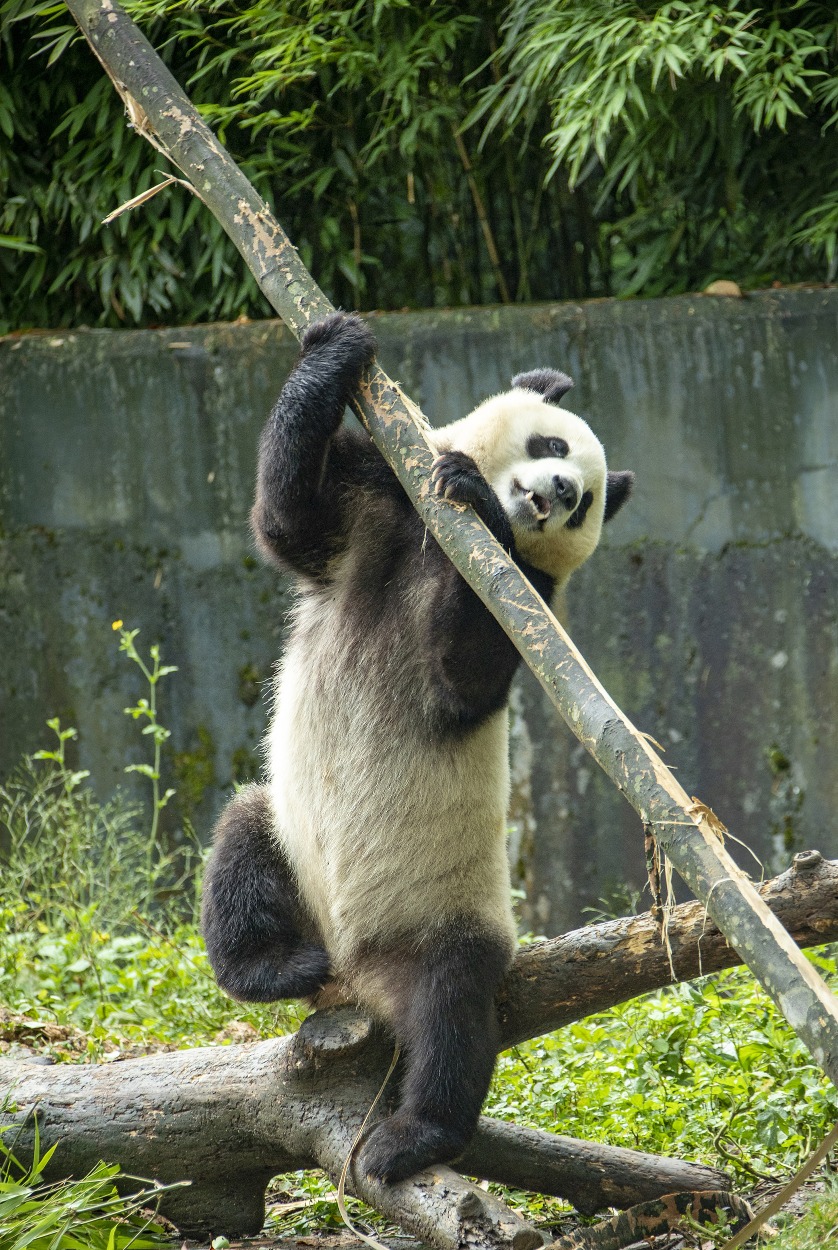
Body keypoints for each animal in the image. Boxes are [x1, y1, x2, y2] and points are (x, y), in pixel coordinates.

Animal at [201, 310, 637, 1180]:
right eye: (551, 444)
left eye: (585, 505)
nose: (558, 492)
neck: (427, 532)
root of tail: (356, 979)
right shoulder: (375, 499)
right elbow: (285, 519)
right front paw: (335, 346)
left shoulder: (529, 598)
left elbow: (467, 672)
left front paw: (478, 501)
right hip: (289, 841)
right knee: (242, 841)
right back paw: (275, 963)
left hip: (447, 914)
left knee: (453, 1010)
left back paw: (413, 1137)